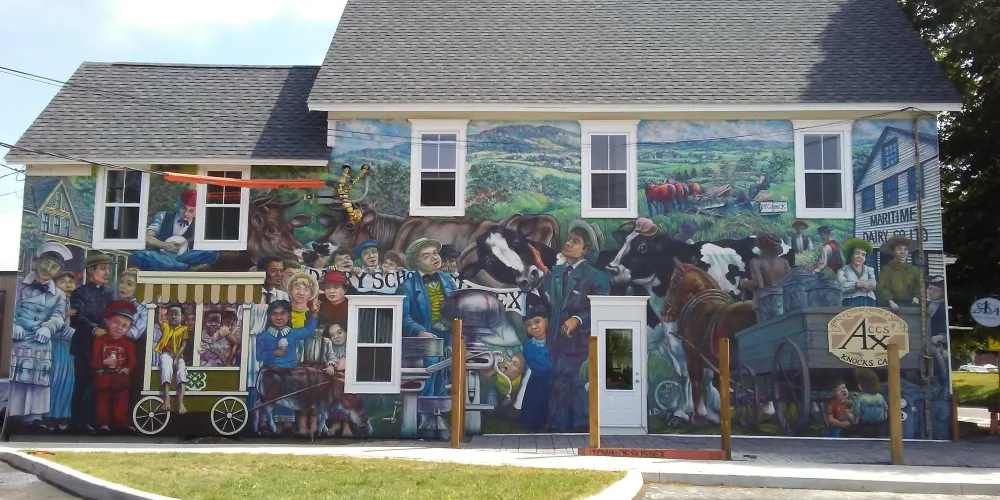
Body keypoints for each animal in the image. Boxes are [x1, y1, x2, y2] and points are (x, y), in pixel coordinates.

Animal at [661, 257, 757, 425]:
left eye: (673, 283)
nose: (664, 312)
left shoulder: (692, 355)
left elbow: (697, 382)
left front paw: (698, 415)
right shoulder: (713, 359)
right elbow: (717, 383)